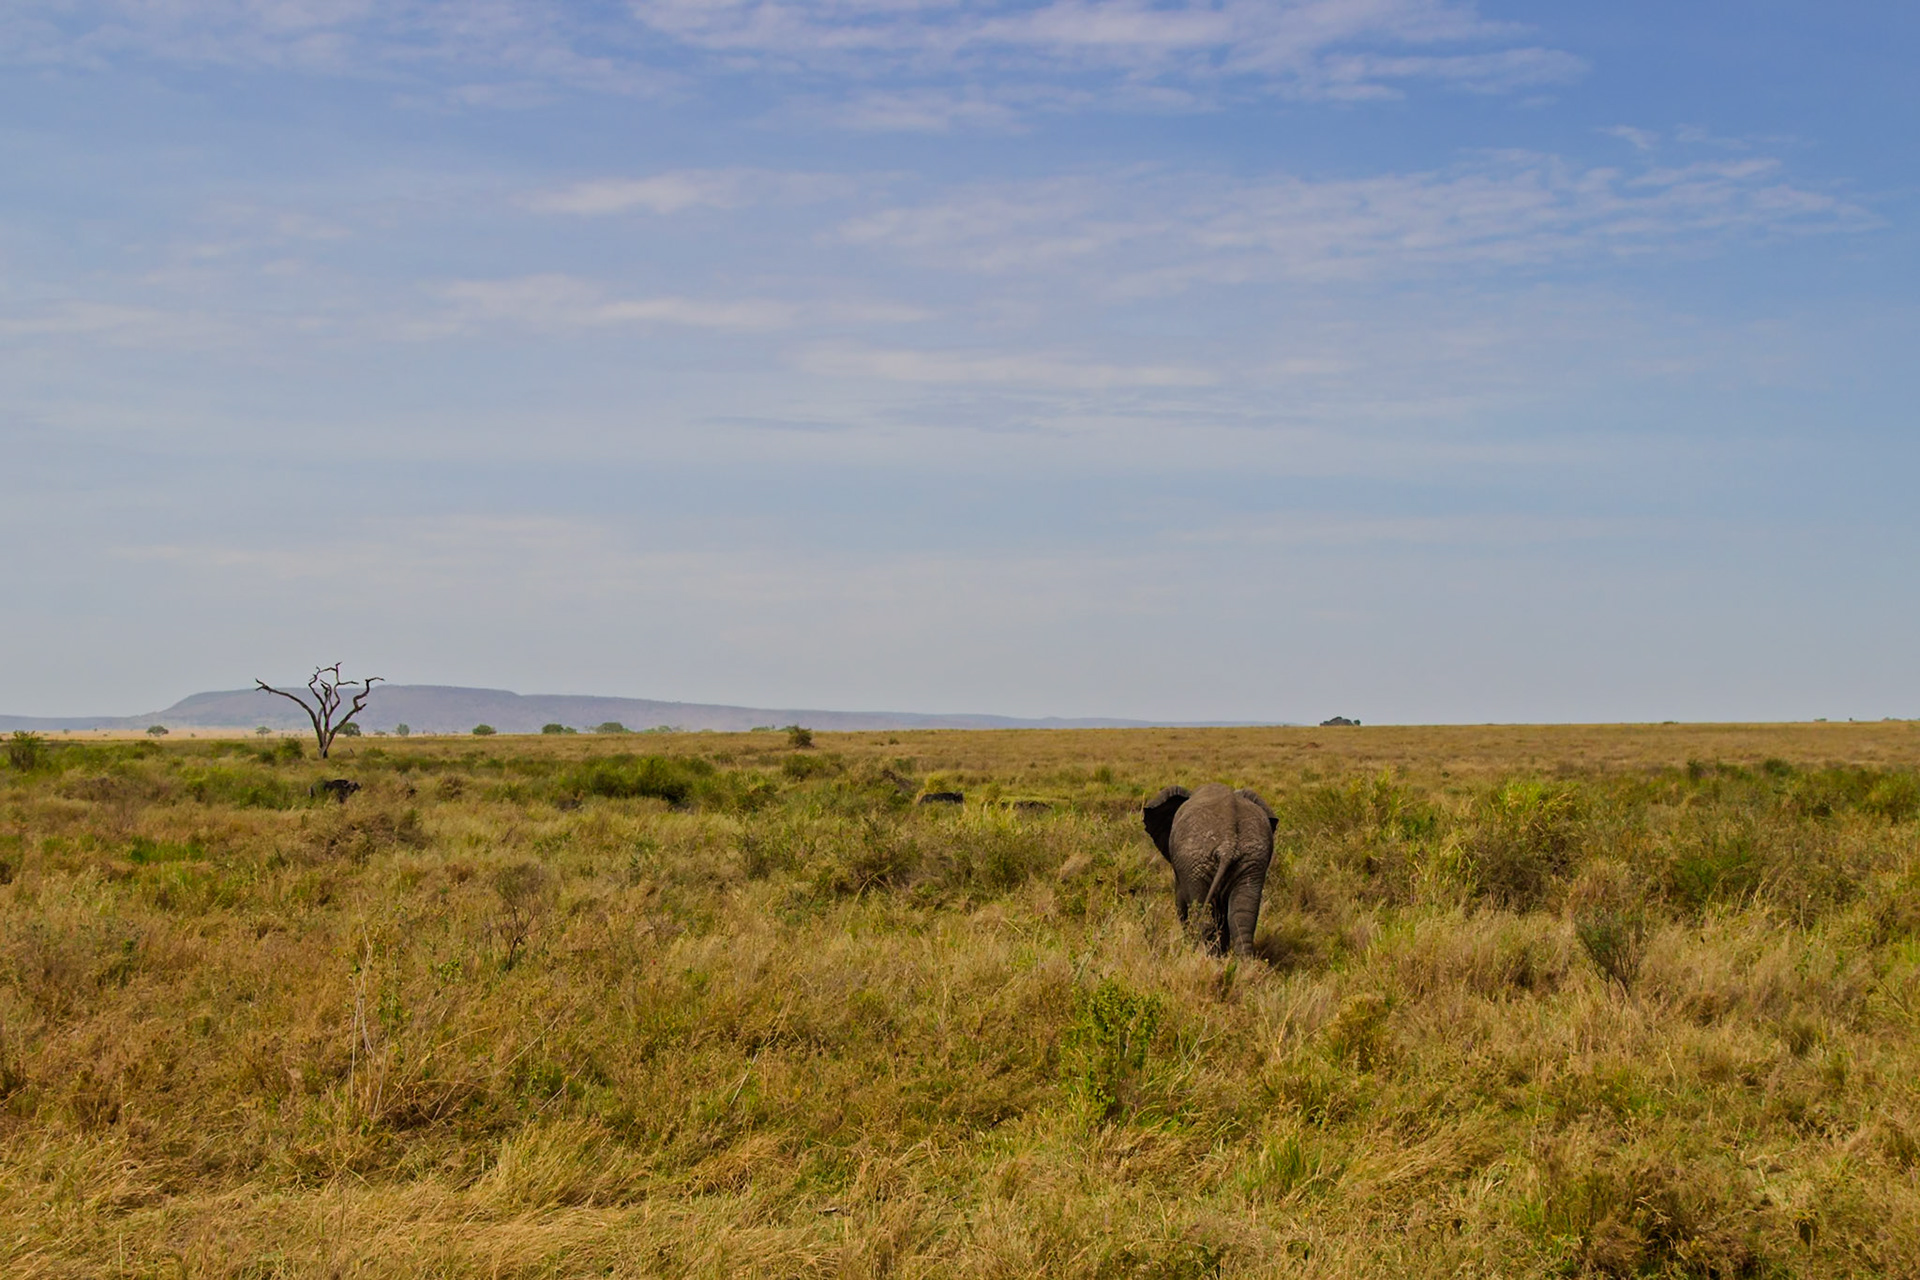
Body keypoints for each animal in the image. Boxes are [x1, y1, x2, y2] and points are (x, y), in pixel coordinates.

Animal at [1143, 783, 1278, 957]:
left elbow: (1180, 902)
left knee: (1203, 914)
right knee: (1243, 917)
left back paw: (1206, 956)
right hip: (1252, 860)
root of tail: (1228, 843)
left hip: (1196, 862)